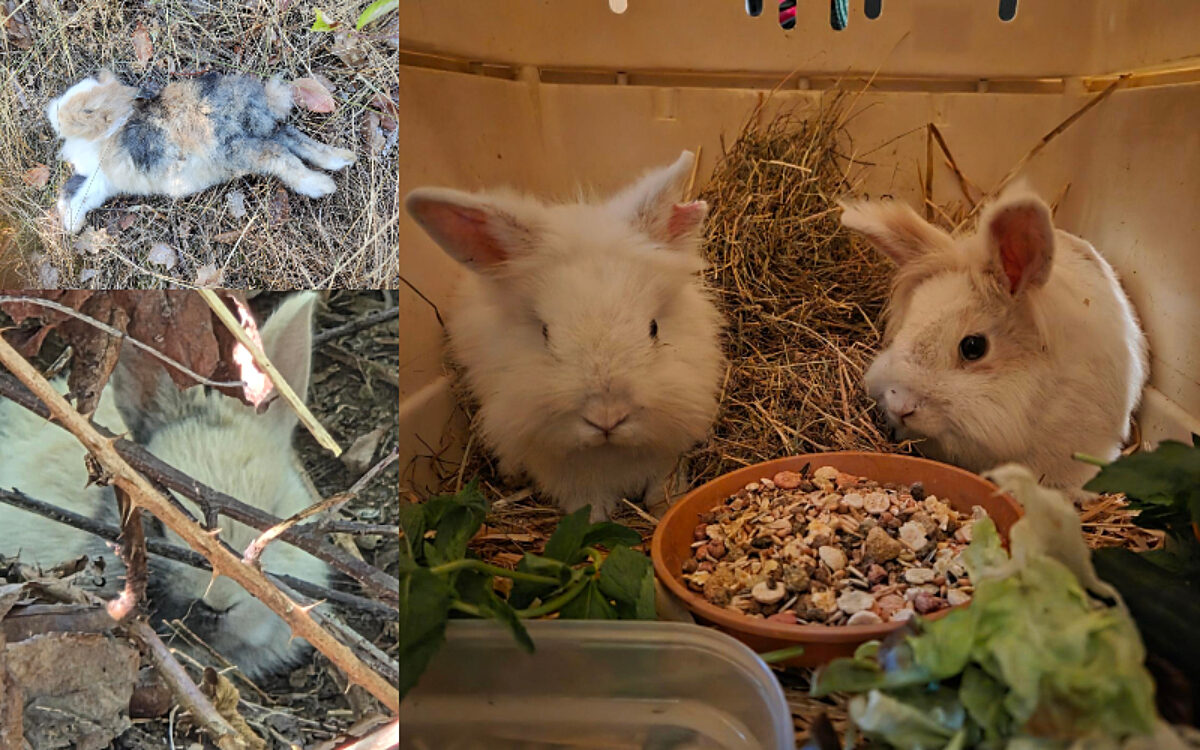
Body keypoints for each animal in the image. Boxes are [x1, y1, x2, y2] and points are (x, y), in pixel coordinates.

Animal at [46, 69, 356, 234]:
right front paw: (72, 224)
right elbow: (75, 193)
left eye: (90, 108)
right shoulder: (97, 178)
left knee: (278, 153)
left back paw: (321, 184)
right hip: (248, 139)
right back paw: (340, 159)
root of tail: (258, 97)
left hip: (233, 147)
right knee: (288, 139)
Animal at [405, 151, 726, 522]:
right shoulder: (568, 480)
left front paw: (666, 510)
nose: (607, 417)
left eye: (654, 328)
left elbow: (664, 489)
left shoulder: (670, 453)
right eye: (545, 333)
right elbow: (588, 512)